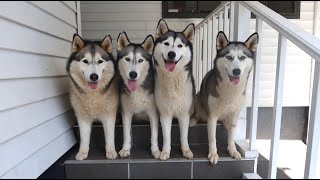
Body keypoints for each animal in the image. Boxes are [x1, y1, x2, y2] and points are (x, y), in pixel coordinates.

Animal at [152, 19, 195, 160]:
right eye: (166, 43)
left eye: (180, 46)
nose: (172, 54)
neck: (172, 78)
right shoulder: (165, 113)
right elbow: (166, 136)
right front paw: (165, 152)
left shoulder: (184, 114)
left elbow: (184, 136)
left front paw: (186, 151)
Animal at [192, 31, 258, 165]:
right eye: (229, 57)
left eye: (242, 57)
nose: (237, 71)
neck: (230, 91)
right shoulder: (212, 116)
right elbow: (212, 138)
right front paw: (213, 154)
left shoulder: (234, 115)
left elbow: (232, 136)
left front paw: (233, 150)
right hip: (197, 98)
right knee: (196, 114)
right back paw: (193, 120)